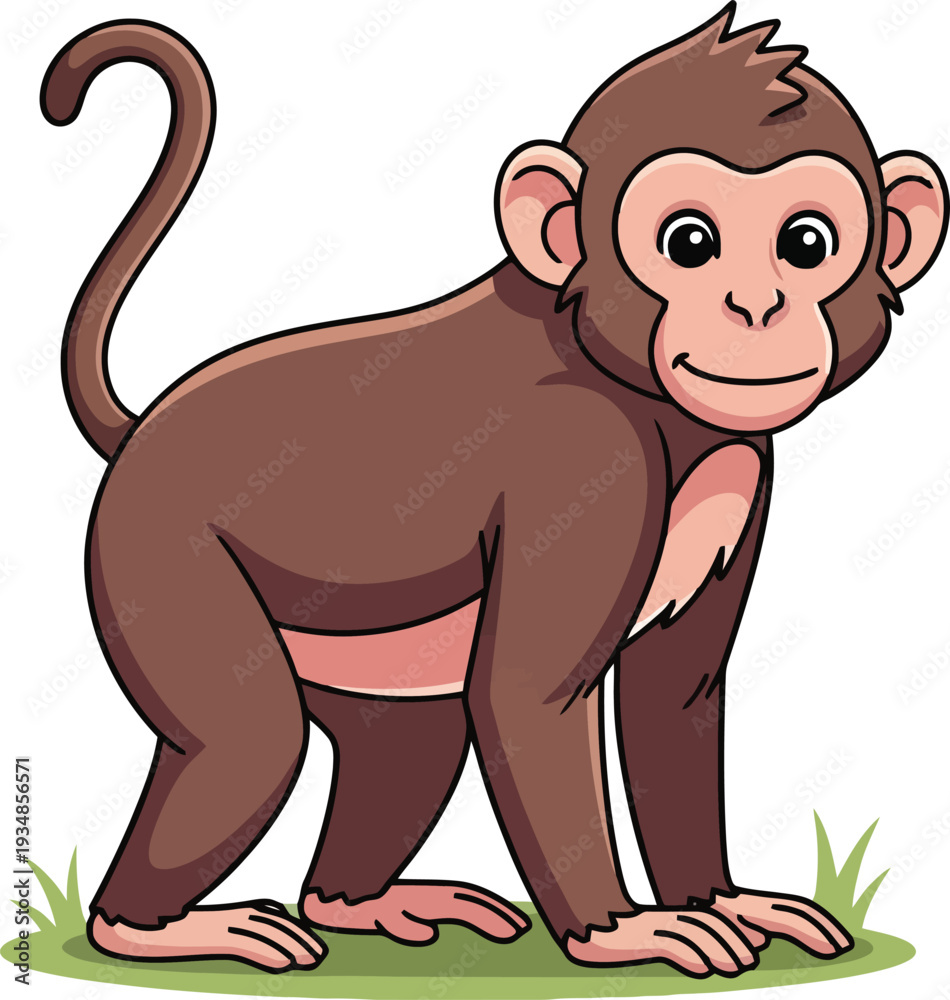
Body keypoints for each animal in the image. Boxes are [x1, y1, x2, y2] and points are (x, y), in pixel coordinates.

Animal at [41, 4, 947, 977]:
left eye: (806, 243)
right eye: (689, 243)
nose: (756, 306)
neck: (646, 394)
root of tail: (144, 428)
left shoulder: (745, 467)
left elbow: (675, 695)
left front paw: (722, 900)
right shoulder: (582, 455)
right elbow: (525, 697)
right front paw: (619, 933)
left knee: (408, 741)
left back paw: (353, 904)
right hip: (156, 553)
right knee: (251, 743)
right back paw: (150, 927)